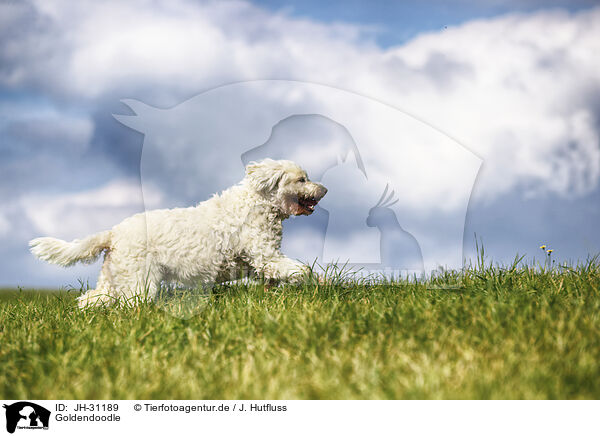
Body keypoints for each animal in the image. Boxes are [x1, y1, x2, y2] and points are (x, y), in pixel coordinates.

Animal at [29, 159, 326, 306]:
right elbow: (301, 269)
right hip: (139, 282)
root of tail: (113, 233)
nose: (324, 189)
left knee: (91, 300)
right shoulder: (265, 255)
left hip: (113, 279)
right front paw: (317, 282)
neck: (258, 202)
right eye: (302, 179)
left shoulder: (258, 263)